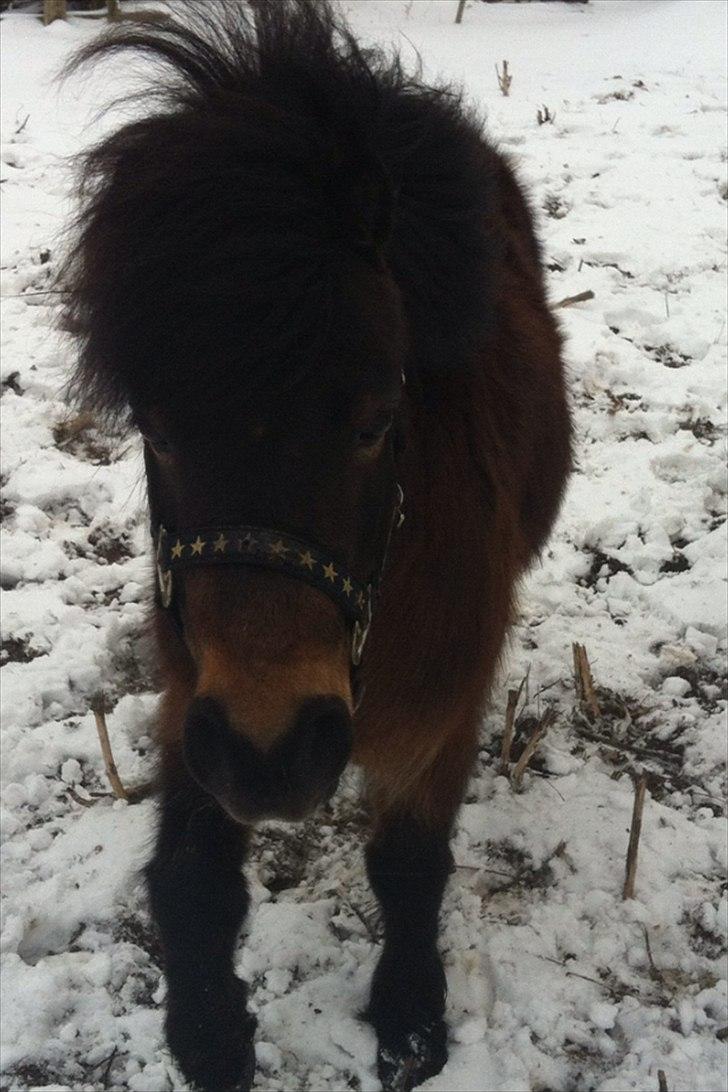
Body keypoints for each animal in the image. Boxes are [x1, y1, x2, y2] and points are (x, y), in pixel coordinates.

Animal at [62, 4, 571, 1087]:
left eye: (378, 417)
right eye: (155, 427)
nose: (273, 758)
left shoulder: (447, 699)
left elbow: (408, 864)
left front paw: (410, 1018)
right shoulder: (198, 691)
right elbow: (190, 880)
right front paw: (209, 1033)